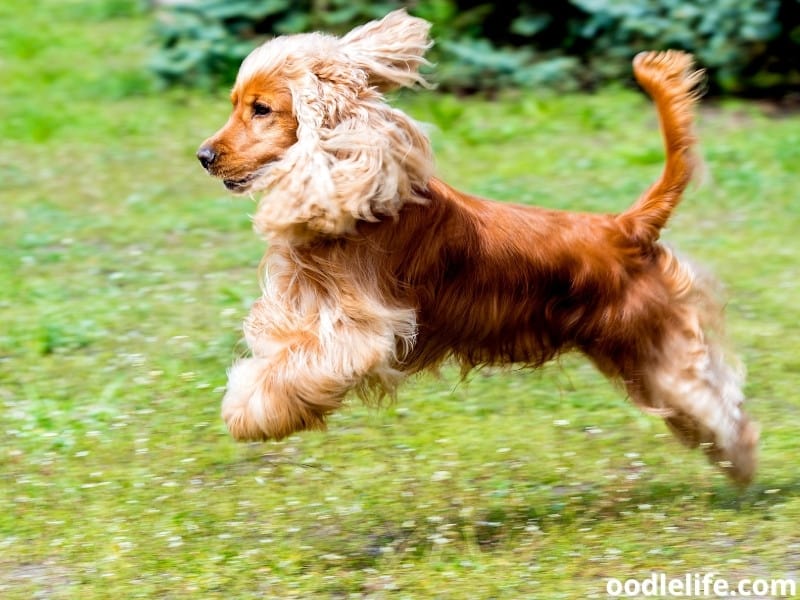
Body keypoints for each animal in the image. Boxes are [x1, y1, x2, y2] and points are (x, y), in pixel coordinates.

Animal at [197, 9, 760, 486]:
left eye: (262, 109)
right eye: (235, 105)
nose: (204, 155)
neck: (354, 190)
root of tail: (624, 227)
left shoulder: (359, 331)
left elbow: (293, 370)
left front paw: (248, 415)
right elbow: (277, 352)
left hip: (653, 343)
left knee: (717, 401)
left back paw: (742, 462)